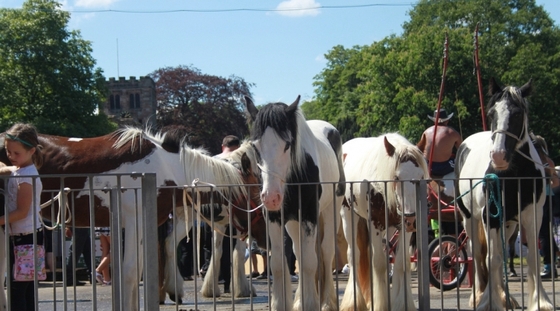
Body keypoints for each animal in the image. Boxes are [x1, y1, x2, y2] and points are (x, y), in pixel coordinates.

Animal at [0, 127, 262, 311]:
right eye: (255, 190)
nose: (257, 232)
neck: (166, 169)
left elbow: (135, 272)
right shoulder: (135, 221)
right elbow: (129, 273)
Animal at [245, 97, 346, 311]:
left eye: (287, 145)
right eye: (255, 147)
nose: (271, 197)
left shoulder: (309, 216)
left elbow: (309, 262)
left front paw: (311, 304)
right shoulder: (274, 218)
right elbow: (278, 264)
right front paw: (281, 303)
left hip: (331, 209)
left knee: (326, 251)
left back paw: (326, 302)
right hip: (292, 222)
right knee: (299, 252)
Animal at [342, 133, 428, 310]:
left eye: (421, 177)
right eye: (396, 177)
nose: (411, 218)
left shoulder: (403, 228)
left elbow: (402, 263)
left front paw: (402, 303)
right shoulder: (375, 224)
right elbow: (379, 263)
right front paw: (381, 304)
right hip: (348, 216)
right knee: (354, 256)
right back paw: (353, 303)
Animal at [456, 78, 556, 311]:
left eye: (518, 114)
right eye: (492, 113)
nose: (498, 156)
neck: (512, 175)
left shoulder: (533, 215)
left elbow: (532, 257)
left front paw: (541, 301)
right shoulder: (489, 217)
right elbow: (491, 258)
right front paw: (488, 301)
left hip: (508, 224)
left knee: (500, 253)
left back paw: (506, 297)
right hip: (470, 219)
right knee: (477, 253)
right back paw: (477, 296)